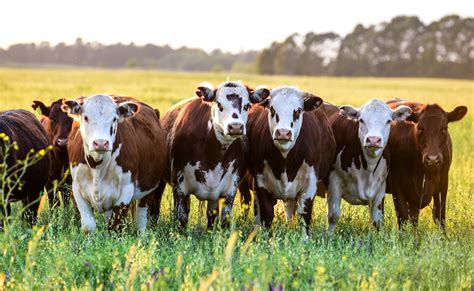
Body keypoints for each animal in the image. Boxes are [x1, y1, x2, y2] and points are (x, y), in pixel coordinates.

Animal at [62, 94, 167, 234]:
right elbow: (89, 226)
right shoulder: (77, 188)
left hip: (149, 188)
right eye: (86, 117)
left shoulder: (126, 190)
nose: (101, 143)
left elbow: (114, 227)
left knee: (142, 217)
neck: (97, 166)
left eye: (114, 119)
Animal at [158, 81, 270, 229]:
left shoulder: (229, 189)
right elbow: (182, 218)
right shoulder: (179, 187)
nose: (235, 127)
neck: (214, 155)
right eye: (219, 104)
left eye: (247, 105)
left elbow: (222, 218)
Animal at [246, 86, 336, 233]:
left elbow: (304, 216)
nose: (283, 132)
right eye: (272, 109)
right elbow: (267, 215)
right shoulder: (261, 184)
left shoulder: (310, 185)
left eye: (298, 110)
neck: (285, 162)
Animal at [324, 99, 412, 234]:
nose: (373, 139)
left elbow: (377, 220)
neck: (367, 169)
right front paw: (329, 236)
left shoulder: (380, 187)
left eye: (388, 121)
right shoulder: (334, 180)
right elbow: (333, 216)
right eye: (361, 120)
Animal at [386, 99, 468, 229]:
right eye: (420, 128)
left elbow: (439, 215)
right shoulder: (397, 183)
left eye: (444, 128)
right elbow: (402, 217)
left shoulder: (443, 181)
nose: (432, 159)